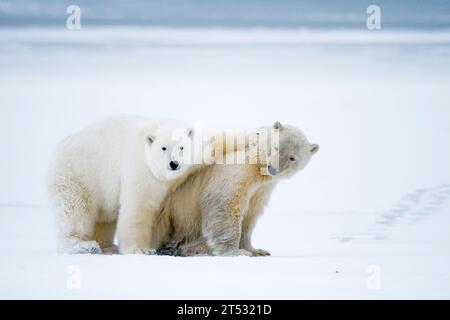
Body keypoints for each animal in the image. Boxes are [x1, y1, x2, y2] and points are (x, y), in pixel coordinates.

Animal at [47, 115, 213, 255]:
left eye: (182, 147)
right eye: (163, 147)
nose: (174, 163)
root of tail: (59, 146)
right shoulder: (141, 169)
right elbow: (138, 207)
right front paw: (141, 249)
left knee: (104, 220)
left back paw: (108, 246)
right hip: (77, 173)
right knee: (75, 209)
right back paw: (83, 245)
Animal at [153, 121, 318, 256]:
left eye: (292, 158)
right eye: (276, 147)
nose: (273, 169)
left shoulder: (261, 189)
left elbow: (250, 214)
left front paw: (257, 250)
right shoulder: (236, 170)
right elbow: (227, 206)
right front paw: (236, 252)